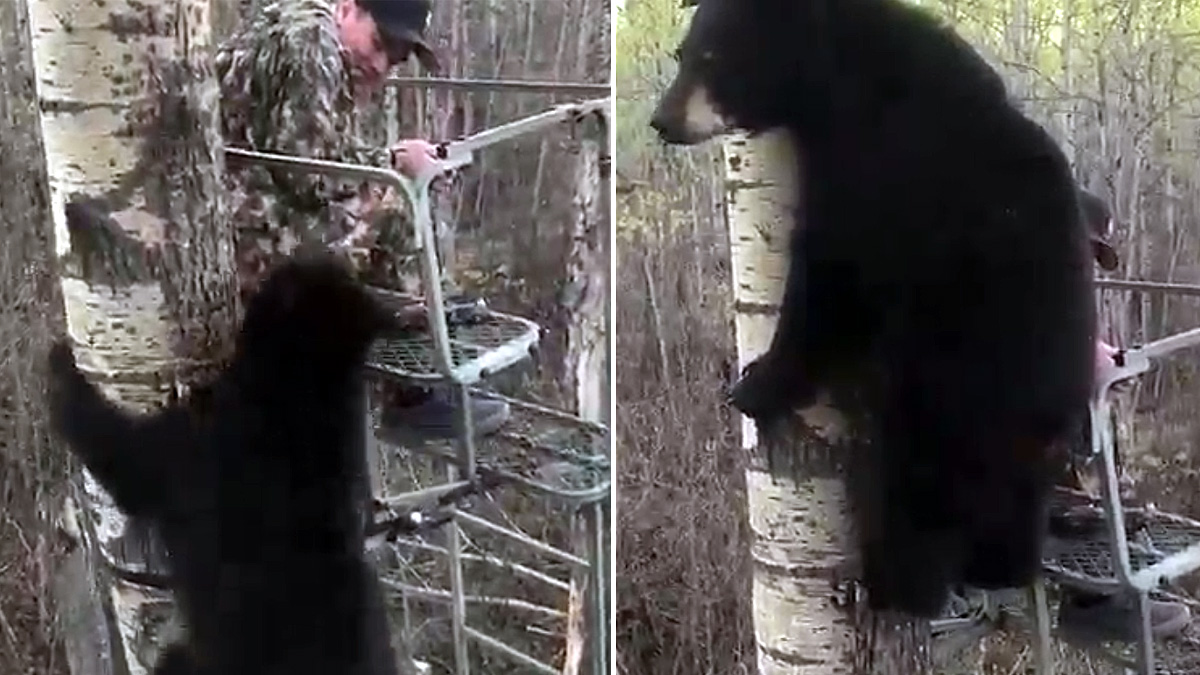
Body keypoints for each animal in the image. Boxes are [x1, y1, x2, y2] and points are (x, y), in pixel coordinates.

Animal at [657, 0, 1099, 614]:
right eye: (684, 53)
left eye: (710, 56)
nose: (662, 121)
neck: (844, 82)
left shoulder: (883, 170)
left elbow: (832, 276)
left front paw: (757, 383)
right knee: (1013, 512)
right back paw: (1000, 569)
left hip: (949, 394)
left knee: (920, 492)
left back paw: (895, 584)